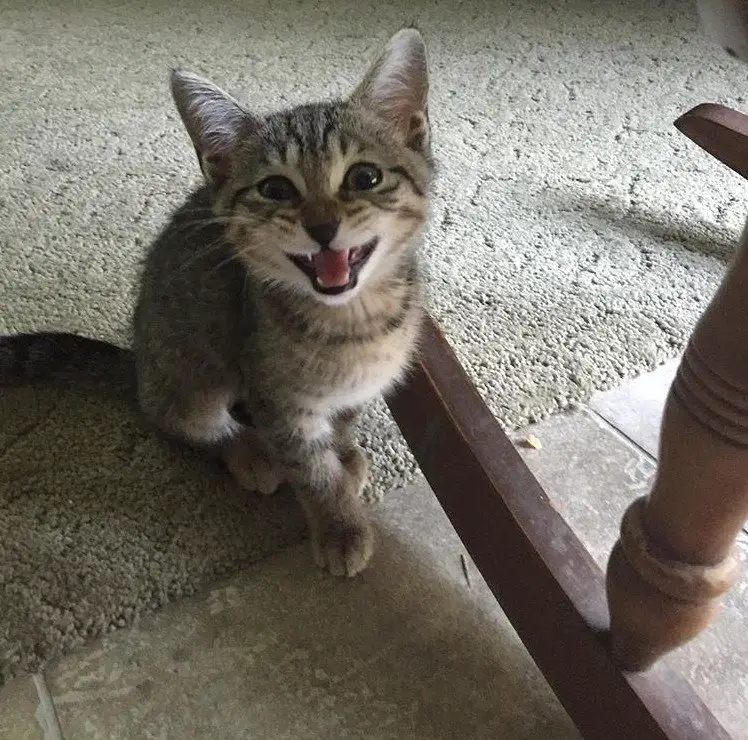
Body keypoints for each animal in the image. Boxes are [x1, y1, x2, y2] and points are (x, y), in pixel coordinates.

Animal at [1, 28, 434, 578]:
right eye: (276, 188)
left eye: (364, 178)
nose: (323, 226)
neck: (356, 323)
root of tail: (139, 366)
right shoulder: (277, 398)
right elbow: (310, 466)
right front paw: (339, 523)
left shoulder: (358, 388)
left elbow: (341, 423)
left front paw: (345, 455)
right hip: (191, 374)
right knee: (178, 421)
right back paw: (248, 452)